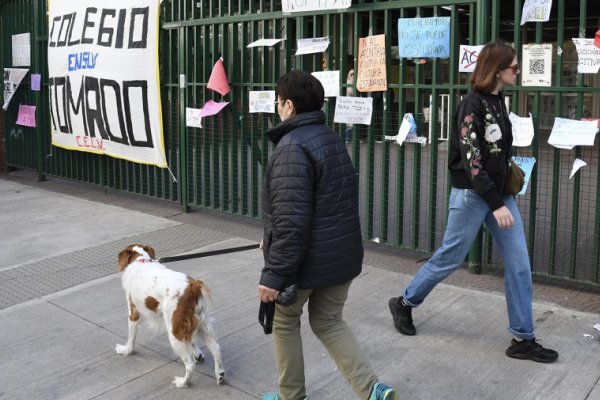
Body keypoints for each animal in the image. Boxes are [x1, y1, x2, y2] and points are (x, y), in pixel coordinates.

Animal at [115, 244, 225, 388]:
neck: (141, 261)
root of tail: (193, 287)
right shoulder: (187, 325)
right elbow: (192, 342)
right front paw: (197, 353)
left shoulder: (133, 313)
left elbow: (131, 338)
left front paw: (126, 350)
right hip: (198, 324)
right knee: (216, 348)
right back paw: (220, 374)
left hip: (174, 333)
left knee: (190, 365)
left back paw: (183, 382)